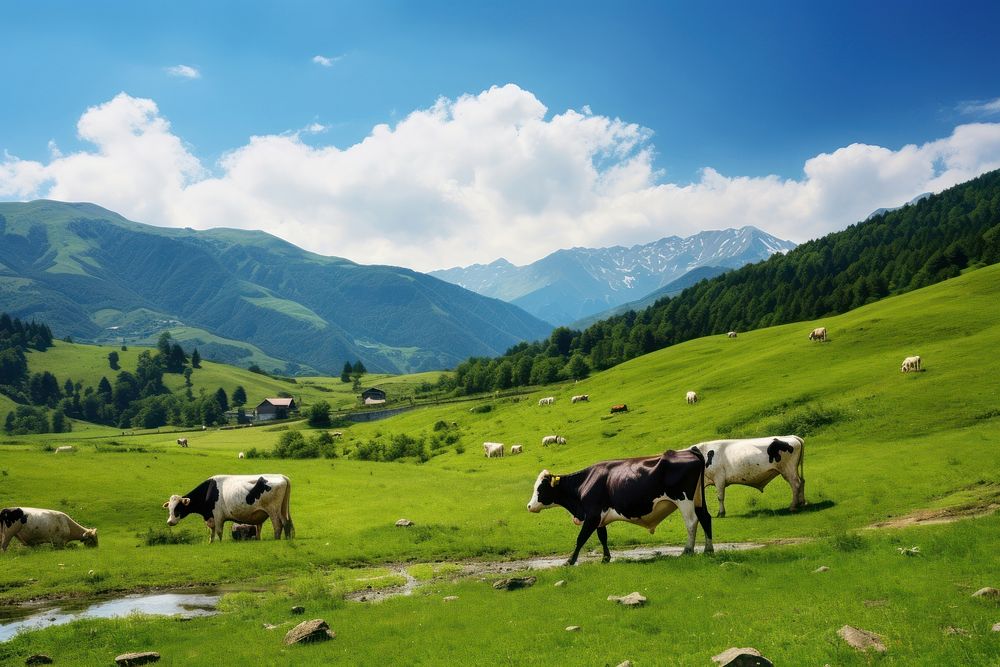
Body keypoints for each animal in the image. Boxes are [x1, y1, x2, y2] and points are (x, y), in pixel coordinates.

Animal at [163, 474, 292, 544]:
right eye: (169, 508)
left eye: (177, 508)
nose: (169, 522)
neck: (209, 491)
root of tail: (281, 476)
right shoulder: (210, 517)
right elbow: (212, 532)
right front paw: (210, 543)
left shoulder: (218, 515)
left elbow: (219, 531)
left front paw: (220, 543)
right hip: (282, 510)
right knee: (286, 523)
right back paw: (287, 538)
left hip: (273, 510)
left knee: (277, 525)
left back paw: (276, 539)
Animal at [528, 452, 716, 568]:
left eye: (540, 488)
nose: (529, 506)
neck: (585, 482)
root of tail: (691, 451)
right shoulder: (600, 517)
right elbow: (603, 537)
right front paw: (605, 558)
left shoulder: (592, 516)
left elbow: (580, 539)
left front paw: (569, 561)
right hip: (699, 499)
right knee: (706, 518)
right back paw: (708, 550)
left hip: (684, 500)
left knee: (691, 522)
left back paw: (687, 551)